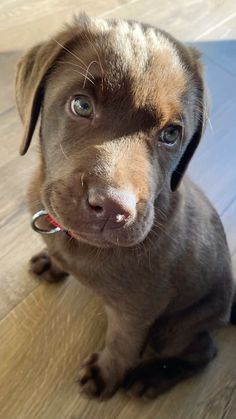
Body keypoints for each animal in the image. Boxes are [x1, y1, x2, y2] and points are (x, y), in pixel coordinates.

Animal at [15, 13, 235, 400]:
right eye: (81, 105)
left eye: (171, 135)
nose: (113, 207)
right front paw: (51, 261)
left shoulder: (139, 310)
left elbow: (123, 344)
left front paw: (106, 375)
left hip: (175, 327)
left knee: (204, 351)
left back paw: (153, 377)